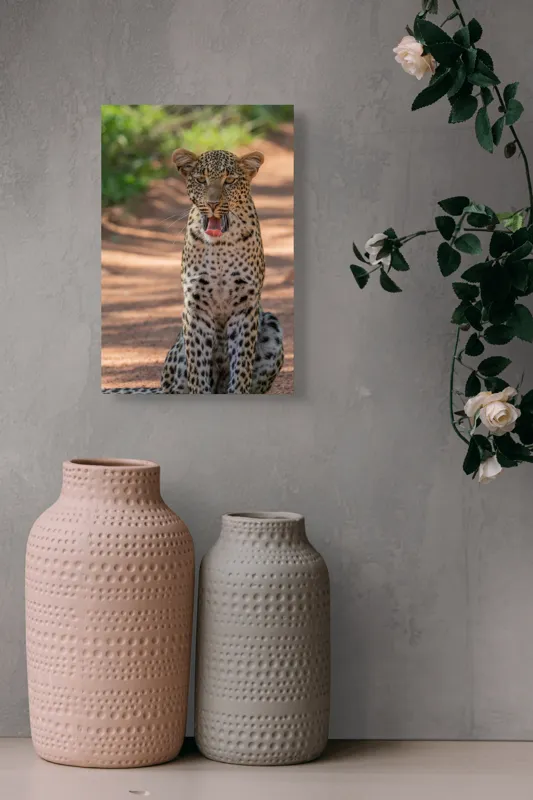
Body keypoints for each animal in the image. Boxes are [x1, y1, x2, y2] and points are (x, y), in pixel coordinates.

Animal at [103, 148, 284, 395]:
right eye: (201, 180)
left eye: (229, 180)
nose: (213, 203)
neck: (220, 247)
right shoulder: (195, 306)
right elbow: (198, 366)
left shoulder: (245, 306)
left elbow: (241, 364)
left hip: (272, 325)